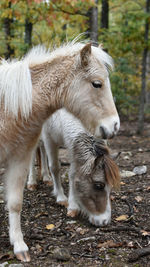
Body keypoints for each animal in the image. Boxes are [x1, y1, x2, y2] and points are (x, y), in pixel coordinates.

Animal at [0, 43, 119, 262]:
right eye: (97, 84)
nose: (114, 126)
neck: (7, 107)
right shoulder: (47, 141)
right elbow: (56, 167)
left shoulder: (19, 158)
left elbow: (15, 202)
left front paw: (19, 246)